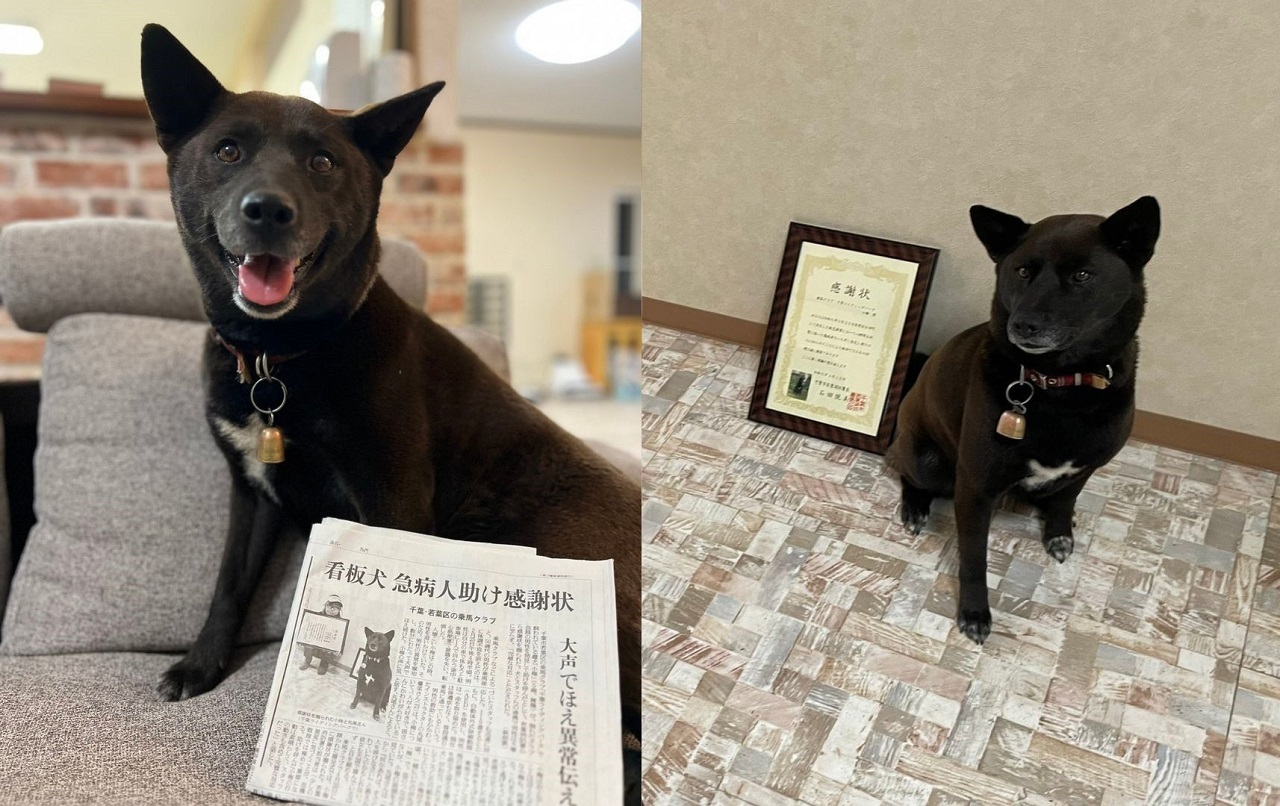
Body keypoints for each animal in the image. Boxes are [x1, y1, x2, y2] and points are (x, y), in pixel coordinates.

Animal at [142, 23, 640, 757]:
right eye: (227, 150)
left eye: (323, 162)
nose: (268, 211)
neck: (278, 360)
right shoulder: (250, 493)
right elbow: (228, 585)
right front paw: (200, 665)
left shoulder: (394, 496)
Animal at [890, 199, 1162, 647]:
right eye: (1021, 271)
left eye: (1082, 275)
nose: (1023, 325)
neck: (1059, 388)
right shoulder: (975, 488)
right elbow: (974, 558)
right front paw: (975, 613)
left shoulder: (1085, 467)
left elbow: (1066, 500)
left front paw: (1059, 532)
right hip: (927, 460)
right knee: (908, 473)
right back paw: (914, 507)